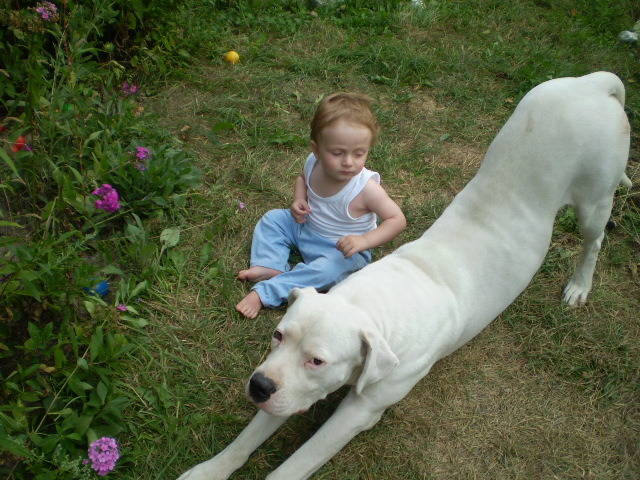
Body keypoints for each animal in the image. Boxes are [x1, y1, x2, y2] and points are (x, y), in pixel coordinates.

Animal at [178, 72, 632, 480]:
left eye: (318, 360)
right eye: (278, 335)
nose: (259, 387)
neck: (373, 306)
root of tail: (591, 83)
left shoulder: (357, 411)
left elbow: (296, 464)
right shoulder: (287, 391)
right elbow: (244, 441)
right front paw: (208, 471)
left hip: (594, 199)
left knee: (593, 241)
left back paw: (579, 287)